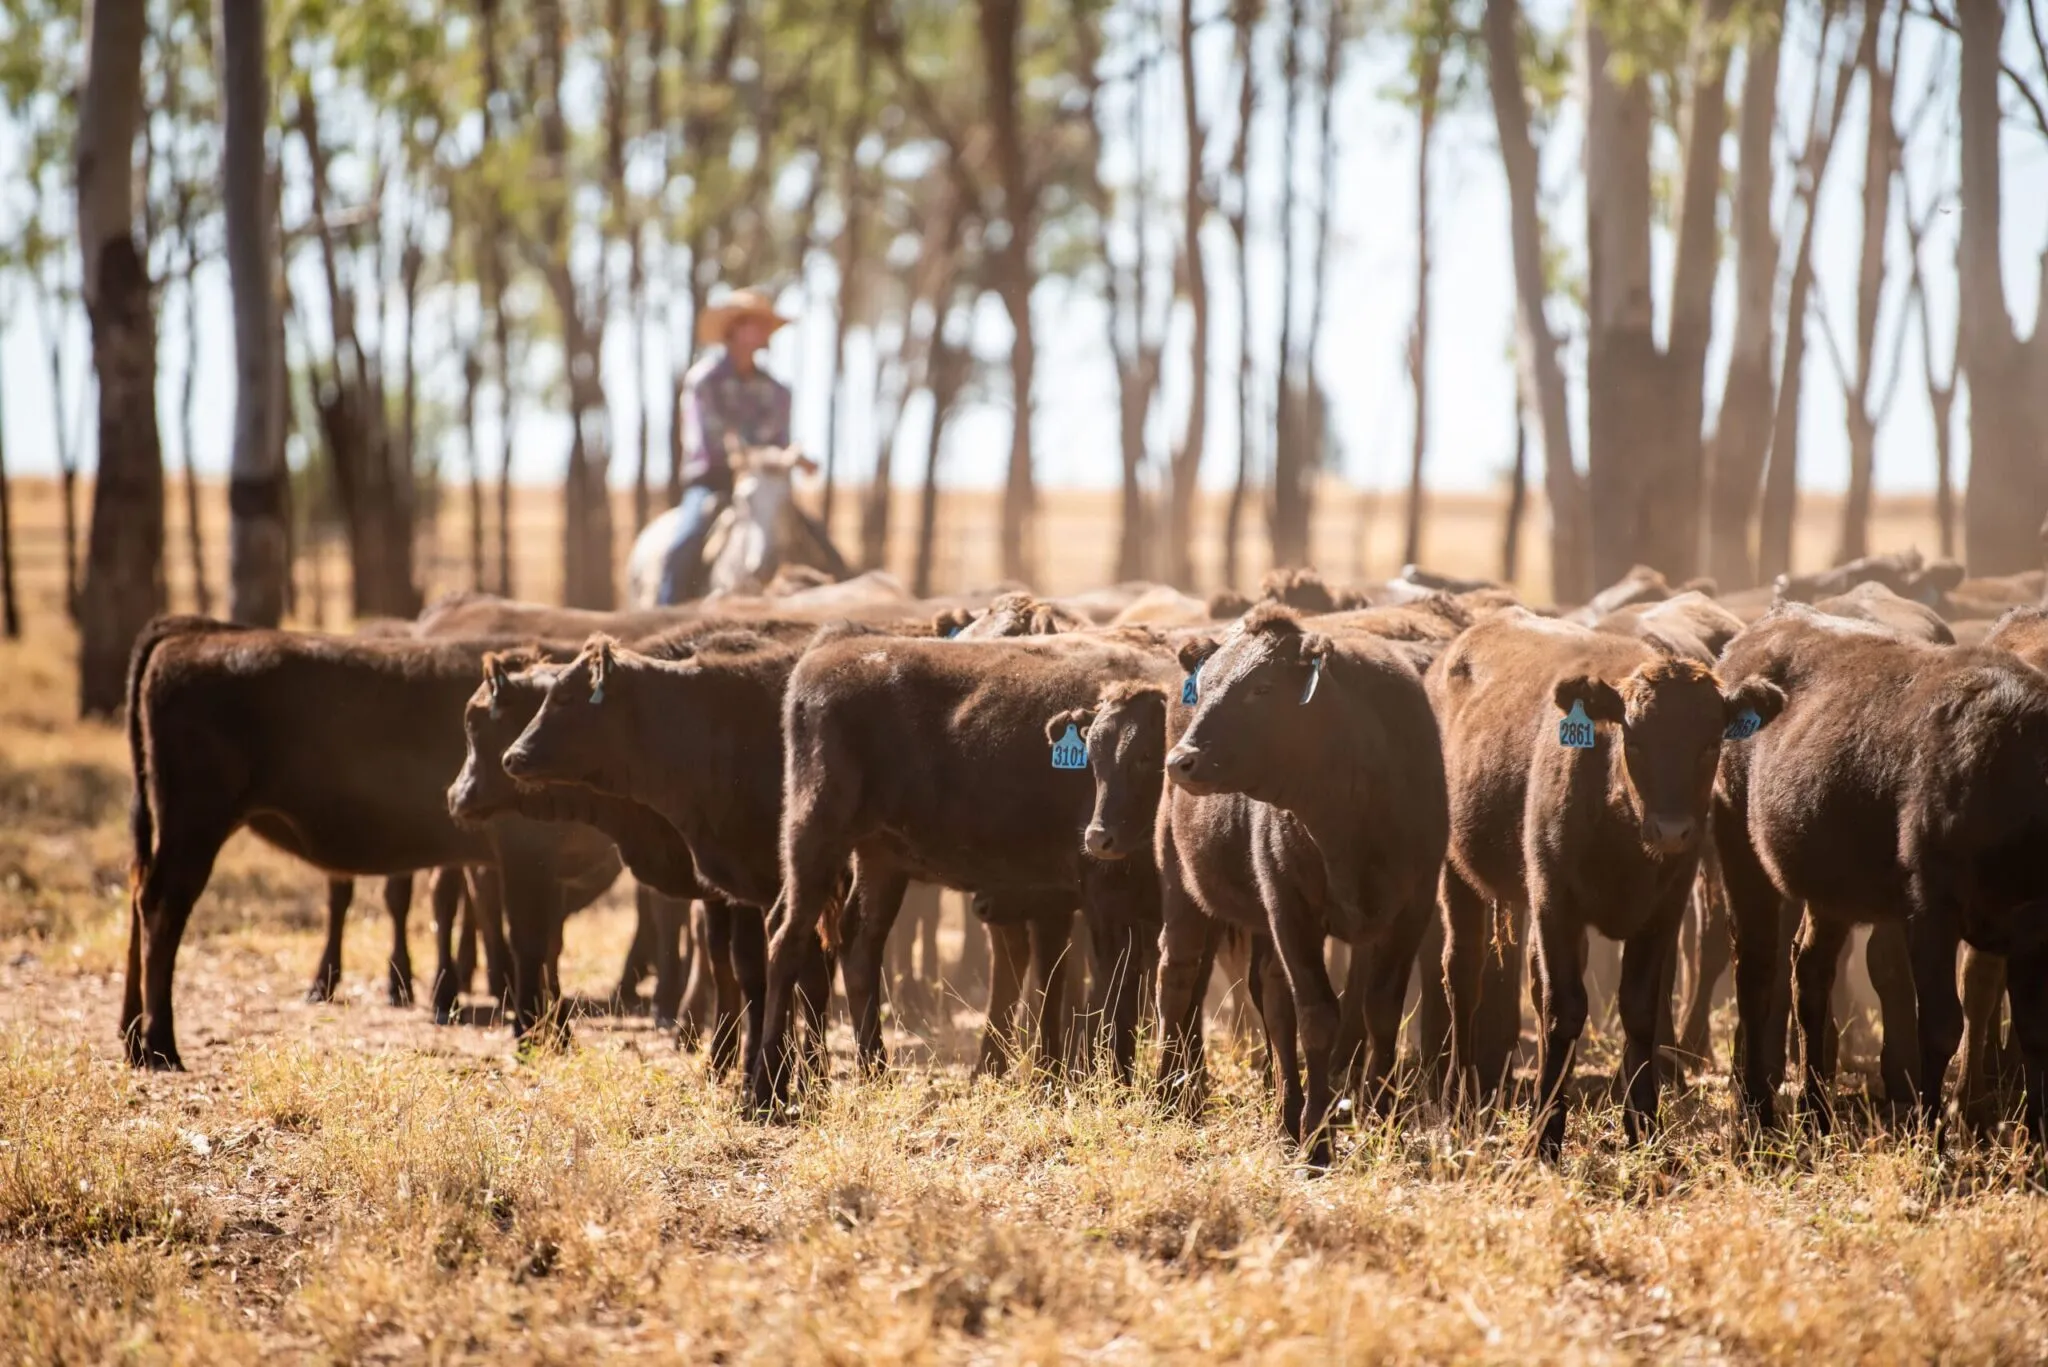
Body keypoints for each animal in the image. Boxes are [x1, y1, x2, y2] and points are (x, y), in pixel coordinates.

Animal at [1164, 606, 1452, 1165]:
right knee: (1179, 979)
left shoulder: (1412, 908)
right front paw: (1318, 1143)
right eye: (1205, 686)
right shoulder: (1290, 907)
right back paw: (1171, 1099)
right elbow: (1318, 1017)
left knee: (1274, 1001)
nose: (1181, 760)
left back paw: (1286, 1118)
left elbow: (1379, 1011)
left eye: (1262, 687)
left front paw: (1382, 1120)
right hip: (1182, 885)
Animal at [1429, 609, 1783, 1157]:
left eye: (1710, 743)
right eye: (1633, 740)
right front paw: (1544, 1136)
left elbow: (1639, 1009)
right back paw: (1458, 1104)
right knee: (1464, 974)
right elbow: (1564, 1007)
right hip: (1458, 873)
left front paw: (1645, 1128)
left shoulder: (1663, 909)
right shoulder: (1555, 900)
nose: (1672, 831)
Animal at [1715, 603, 2048, 1135]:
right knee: (1756, 969)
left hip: (1828, 891)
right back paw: (1757, 1111)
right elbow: (1940, 1023)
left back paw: (1816, 1110)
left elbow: (2035, 1029)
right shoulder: (1930, 909)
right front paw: (1933, 1131)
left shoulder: (2031, 926)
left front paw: (2035, 1134)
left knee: (1809, 970)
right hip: (1739, 850)